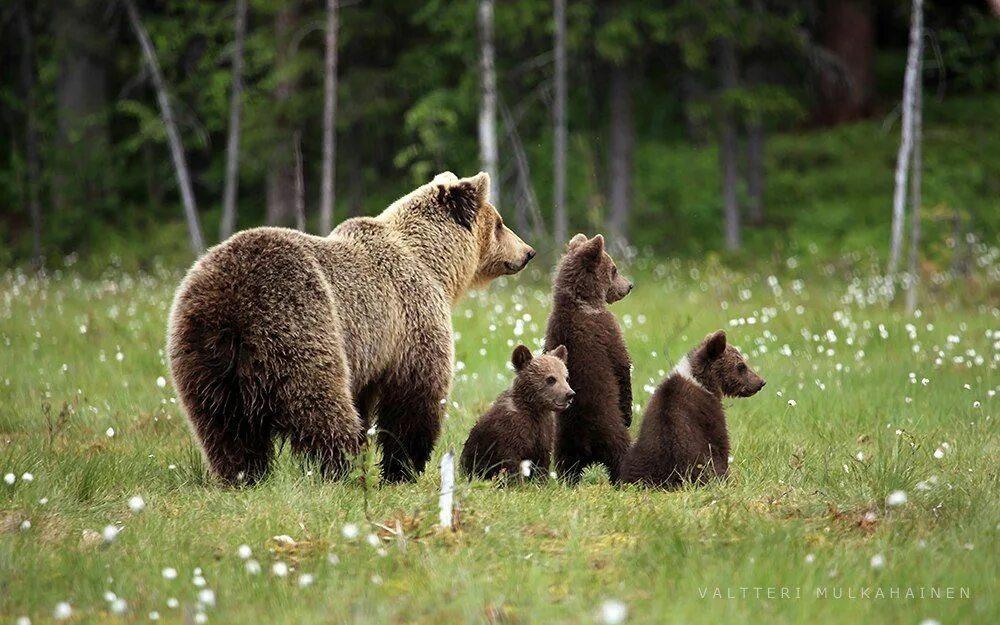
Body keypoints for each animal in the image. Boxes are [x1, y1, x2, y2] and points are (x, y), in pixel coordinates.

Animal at [168, 171, 536, 482]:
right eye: (500, 223)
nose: (528, 252)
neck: (437, 267)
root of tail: (233, 306)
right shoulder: (412, 319)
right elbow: (416, 396)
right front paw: (403, 468)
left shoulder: (371, 352)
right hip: (300, 323)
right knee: (320, 405)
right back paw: (342, 467)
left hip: (200, 350)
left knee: (221, 424)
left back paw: (244, 475)